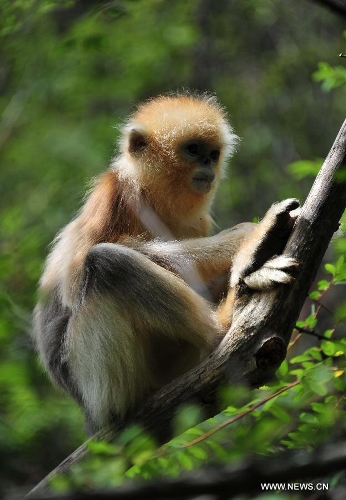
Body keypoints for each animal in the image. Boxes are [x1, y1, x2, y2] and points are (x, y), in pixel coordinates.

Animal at [33, 95, 298, 432]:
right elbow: (74, 279)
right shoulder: (114, 194)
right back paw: (225, 321)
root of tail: (90, 416)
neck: (154, 200)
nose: (208, 164)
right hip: (101, 388)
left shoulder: (197, 222)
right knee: (106, 262)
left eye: (213, 153)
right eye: (193, 150)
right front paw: (249, 238)